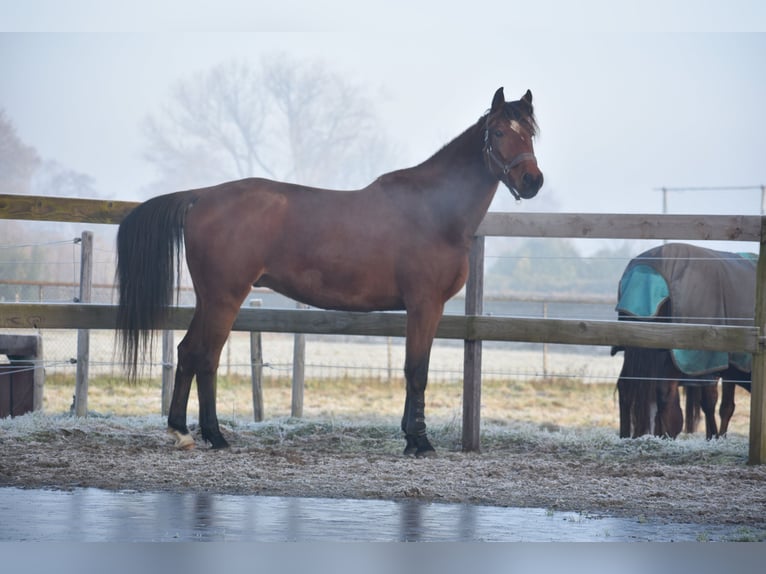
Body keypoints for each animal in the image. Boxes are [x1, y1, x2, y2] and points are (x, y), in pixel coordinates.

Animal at [115, 86, 544, 454]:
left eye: (531, 134)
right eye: (499, 132)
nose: (532, 181)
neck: (434, 210)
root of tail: (202, 196)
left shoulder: (420, 308)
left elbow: (412, 370)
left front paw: (410, 436)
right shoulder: (425, 304)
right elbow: (416, 370)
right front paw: (420, 442)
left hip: (209, 299)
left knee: (189, 352)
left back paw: (184, 431)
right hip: (224, 298)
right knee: (205, 356)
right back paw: (213, 435)